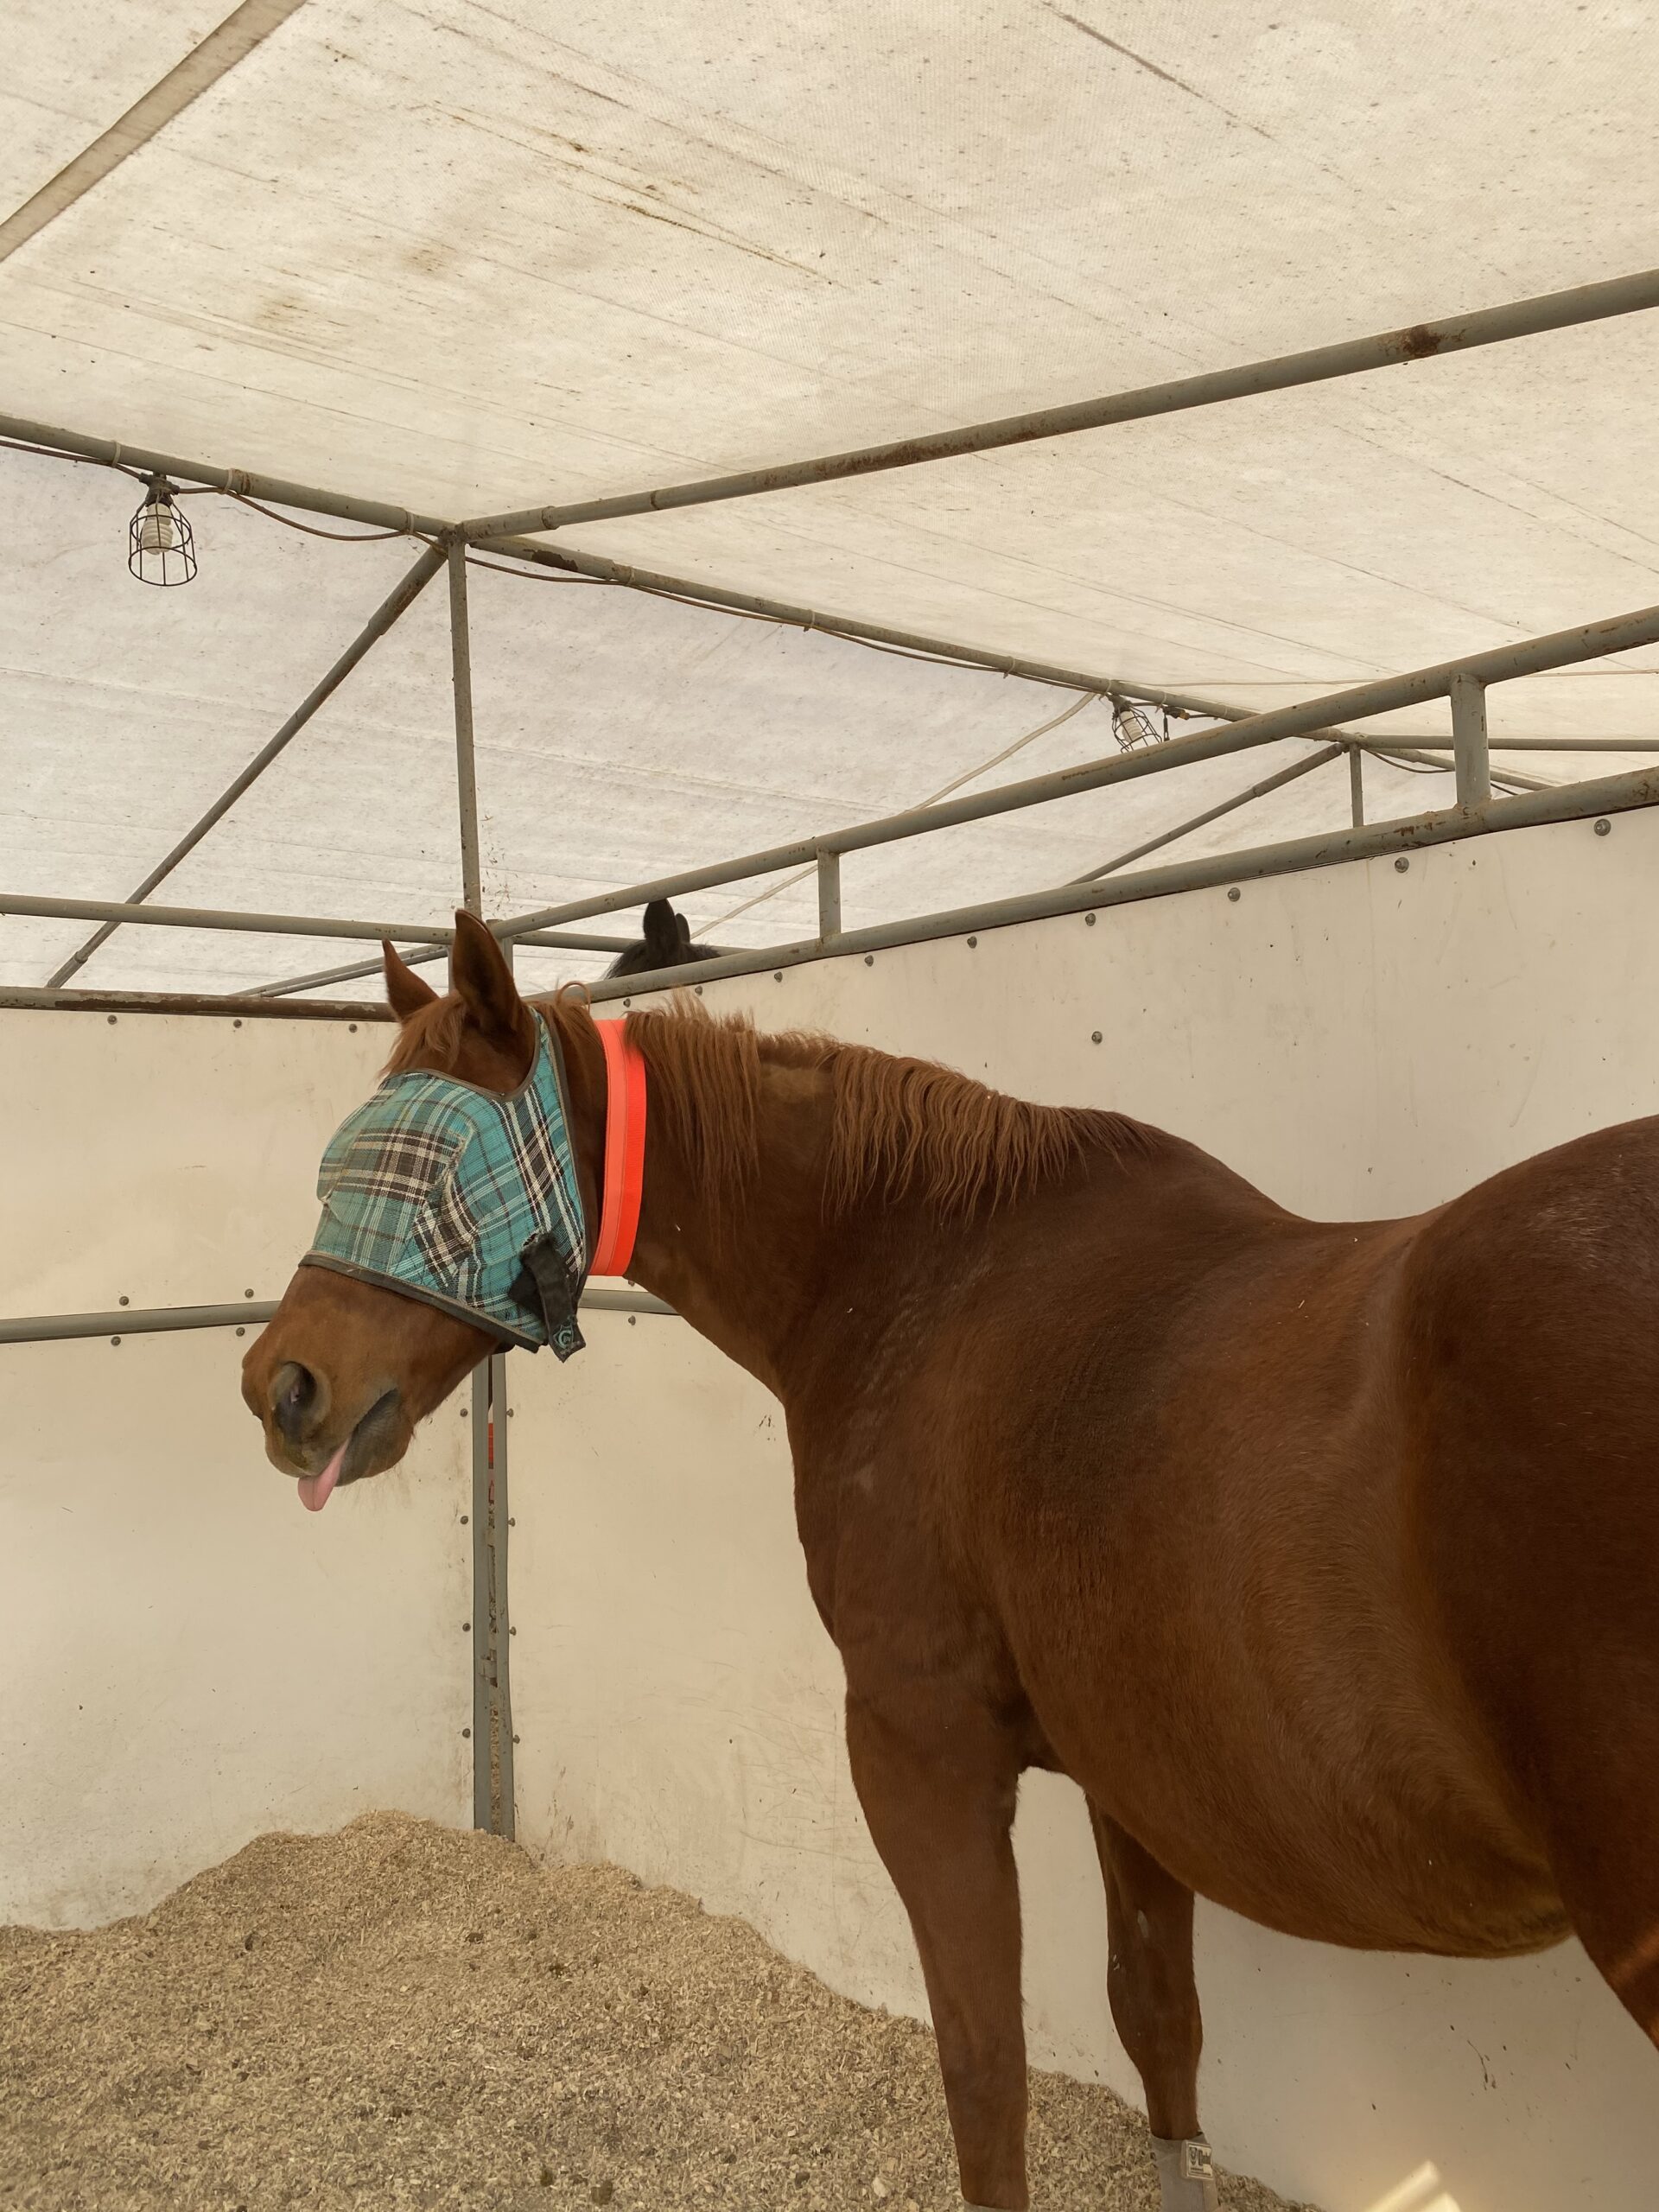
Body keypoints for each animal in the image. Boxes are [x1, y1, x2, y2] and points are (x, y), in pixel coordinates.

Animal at [242, 911, 1659, 2212]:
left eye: (423, 1166)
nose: (280, 1385)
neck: (930, 1276)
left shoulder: (919, 1744)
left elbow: (986, 2073)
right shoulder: (1124, 1763)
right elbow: (1160, 2028)